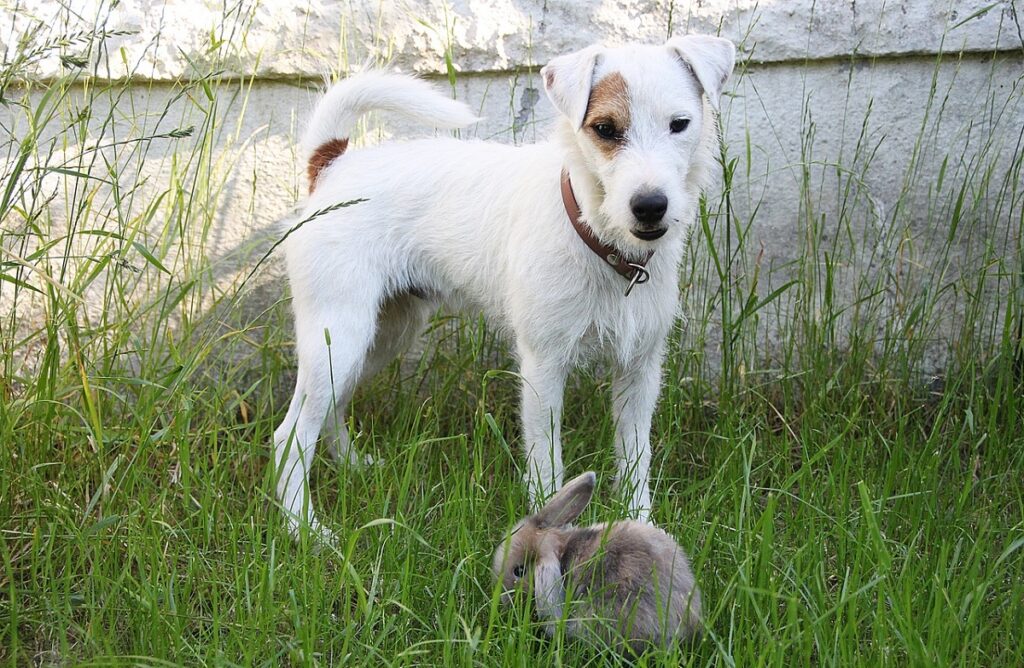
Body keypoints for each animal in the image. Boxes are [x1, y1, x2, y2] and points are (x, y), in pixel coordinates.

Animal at [272, 35, 737, 536]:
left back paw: (352, 466)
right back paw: (305, 529)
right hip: (339, 335)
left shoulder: (640, 369)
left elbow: (635, 459)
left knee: (332, 409)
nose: (650, 206)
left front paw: (639, 524)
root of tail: (333, 163)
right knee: (290, 435)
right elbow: (547, 462)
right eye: (605, 129)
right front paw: (552, 529)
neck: (595, 235)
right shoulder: (543, 367)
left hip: (380, 336)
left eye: (680, 125)